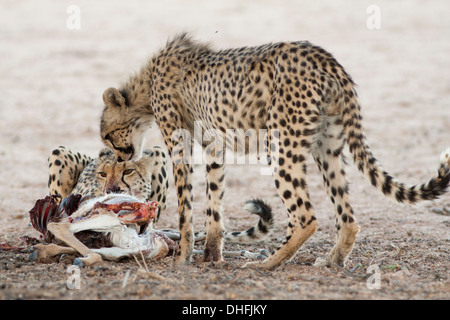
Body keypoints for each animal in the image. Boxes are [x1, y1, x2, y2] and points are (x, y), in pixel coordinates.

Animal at [98, 33, 450, 270]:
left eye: (107, 135)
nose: (120, 157)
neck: (146, 86)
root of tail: (324, 57)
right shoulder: (214, 146)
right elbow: (215, 202)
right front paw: (212, 255)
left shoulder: (180, 144)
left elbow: (187, 207)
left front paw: (184, 257)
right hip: (328, 146)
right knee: (347, 217)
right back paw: (331, 260)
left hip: (281, 146)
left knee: (306, 217)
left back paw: (267, 264)